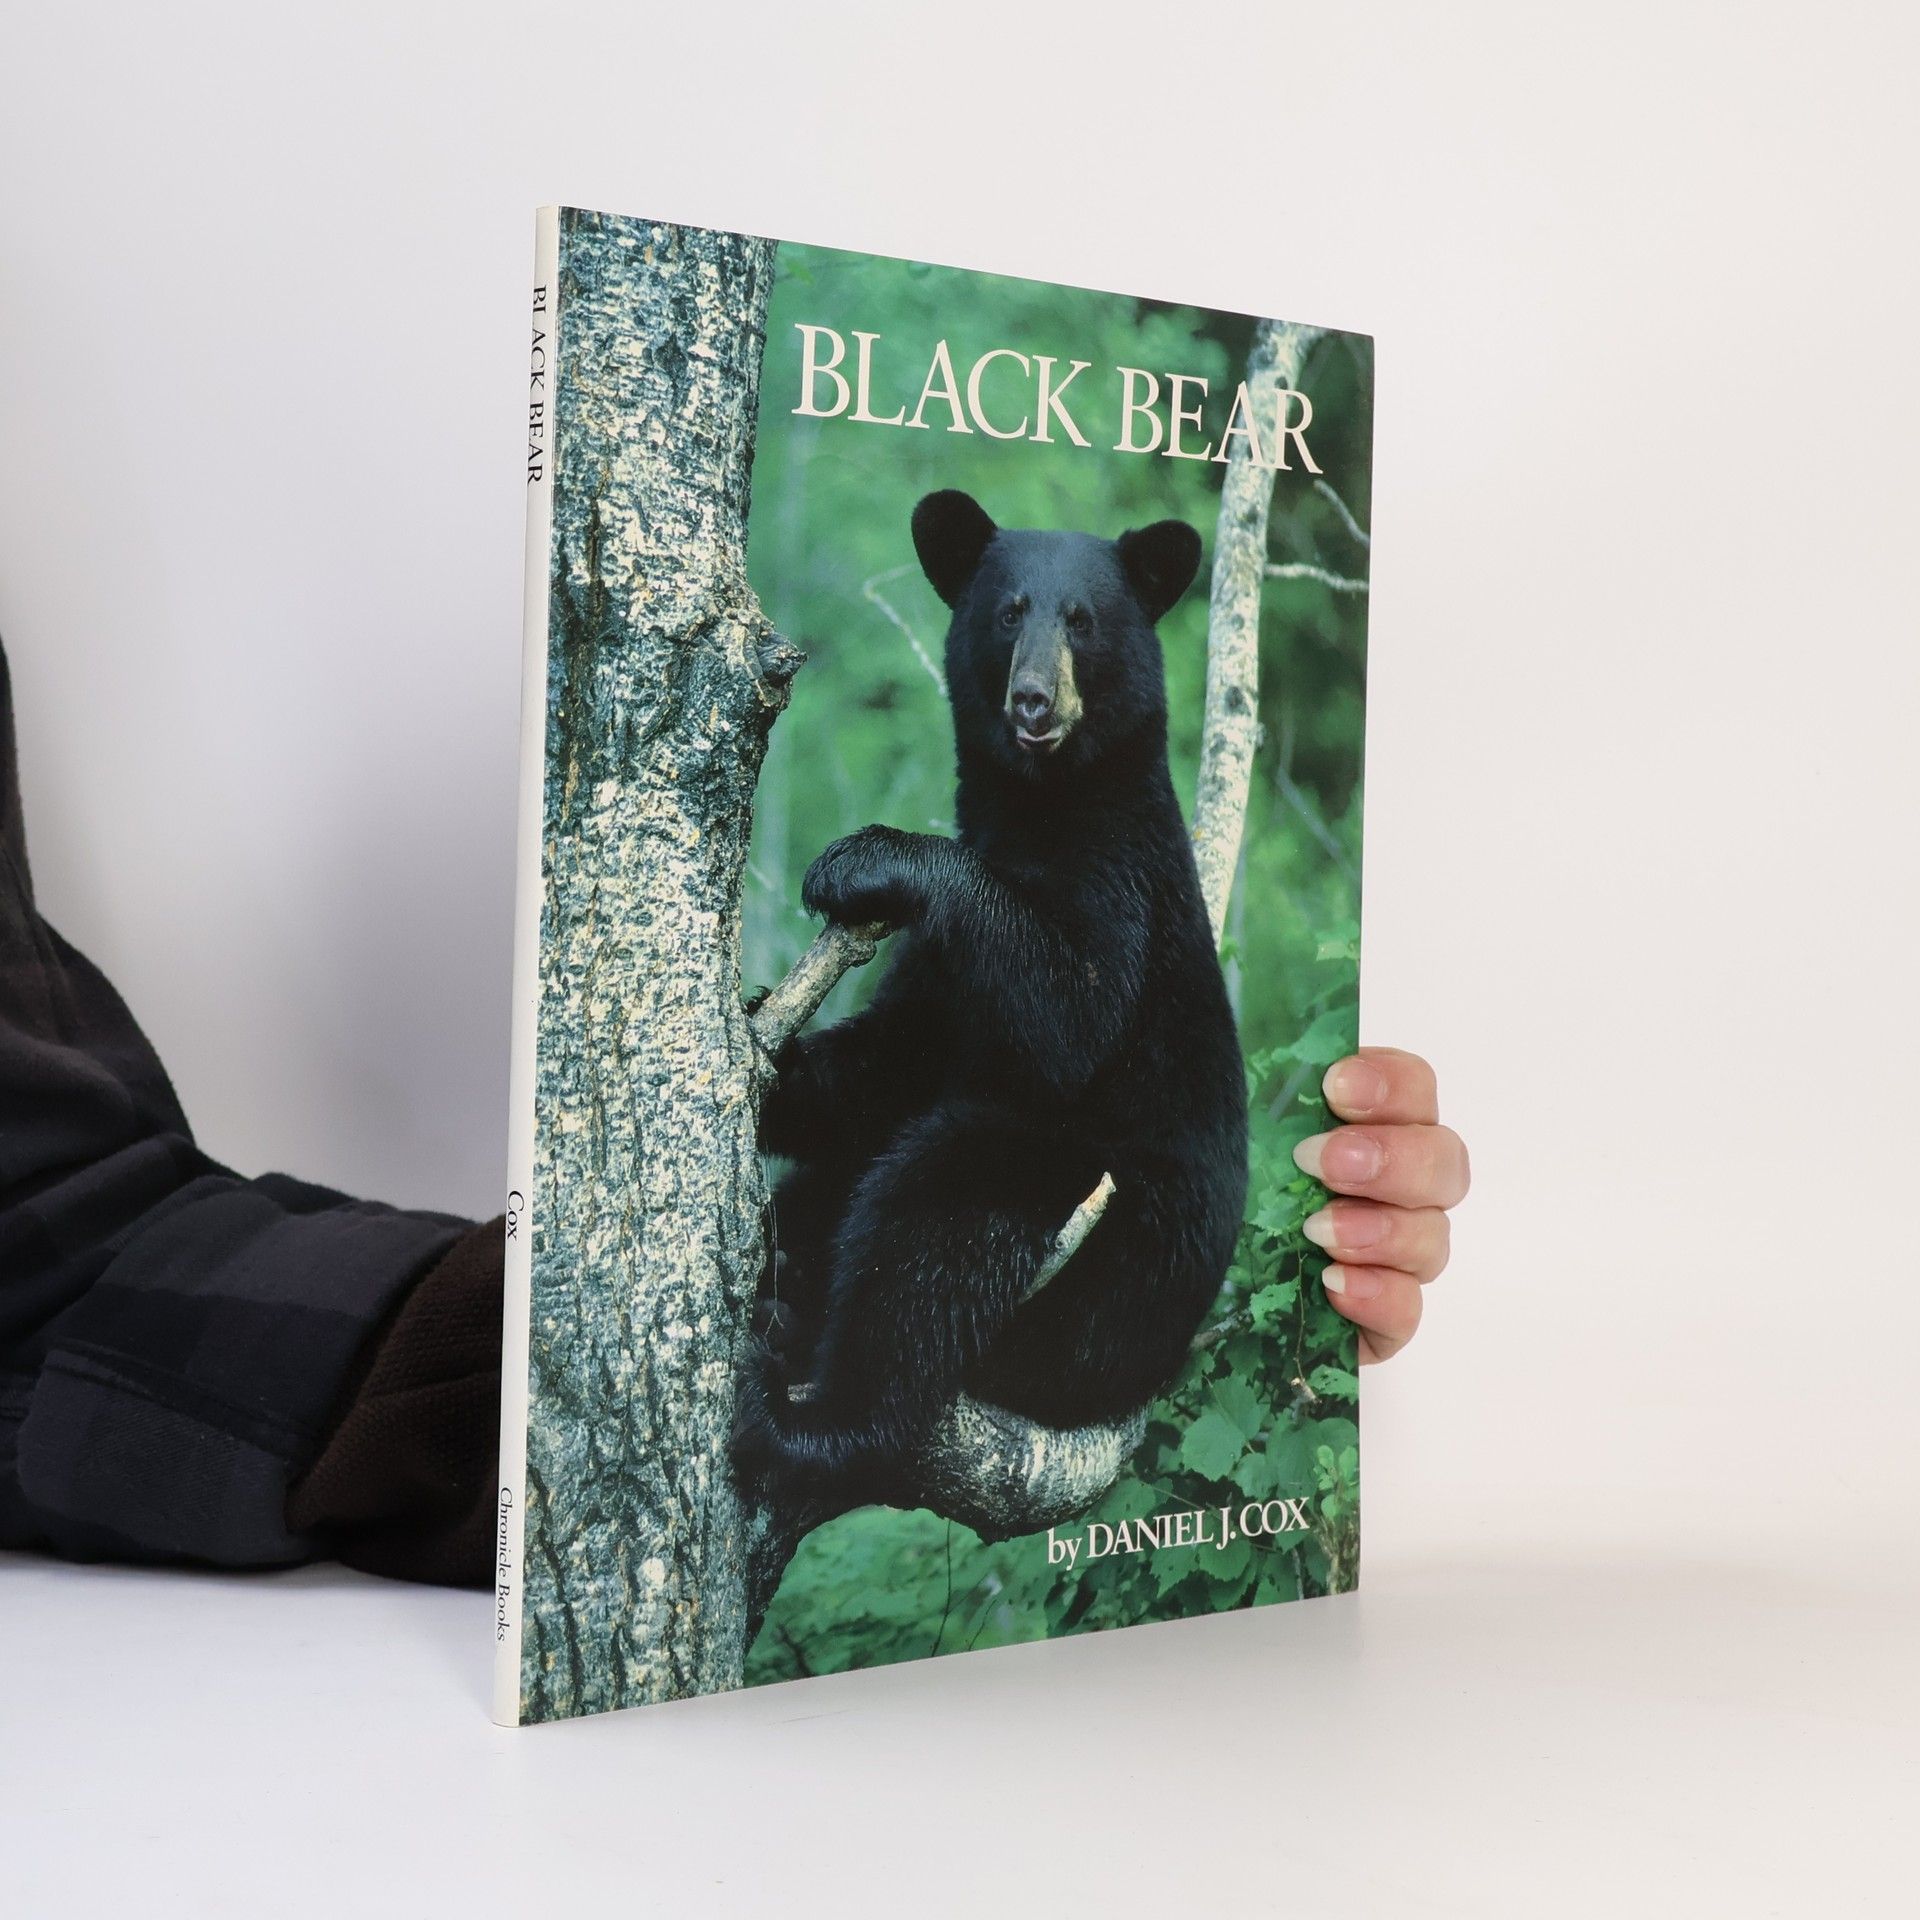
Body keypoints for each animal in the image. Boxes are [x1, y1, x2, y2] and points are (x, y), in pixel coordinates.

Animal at [733, 488, 1249, 1502]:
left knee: (932, 1224)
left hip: (1095, 1259)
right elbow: (890, 1058)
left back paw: (808, 1420)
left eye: (1082, 620)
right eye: (1009, 612)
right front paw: (761, 1044)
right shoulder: (939, 978)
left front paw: (864, 858)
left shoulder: (1120, 887)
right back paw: (785, 1284)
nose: (1033, 700)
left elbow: (1069, 1009)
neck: (1042, 803)